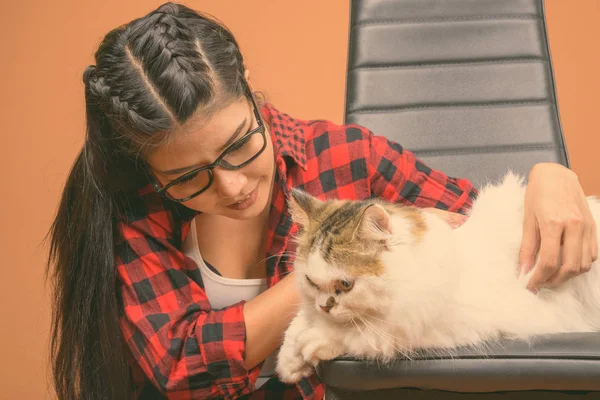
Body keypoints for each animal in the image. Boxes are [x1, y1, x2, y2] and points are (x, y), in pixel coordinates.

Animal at [276, 170, 600, 382]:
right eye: (310, 282)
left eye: (345, 284)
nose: (324, 306)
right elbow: (296, 324)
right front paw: (289, 361)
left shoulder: (433, 325)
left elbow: (362, 334)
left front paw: (314, 342)